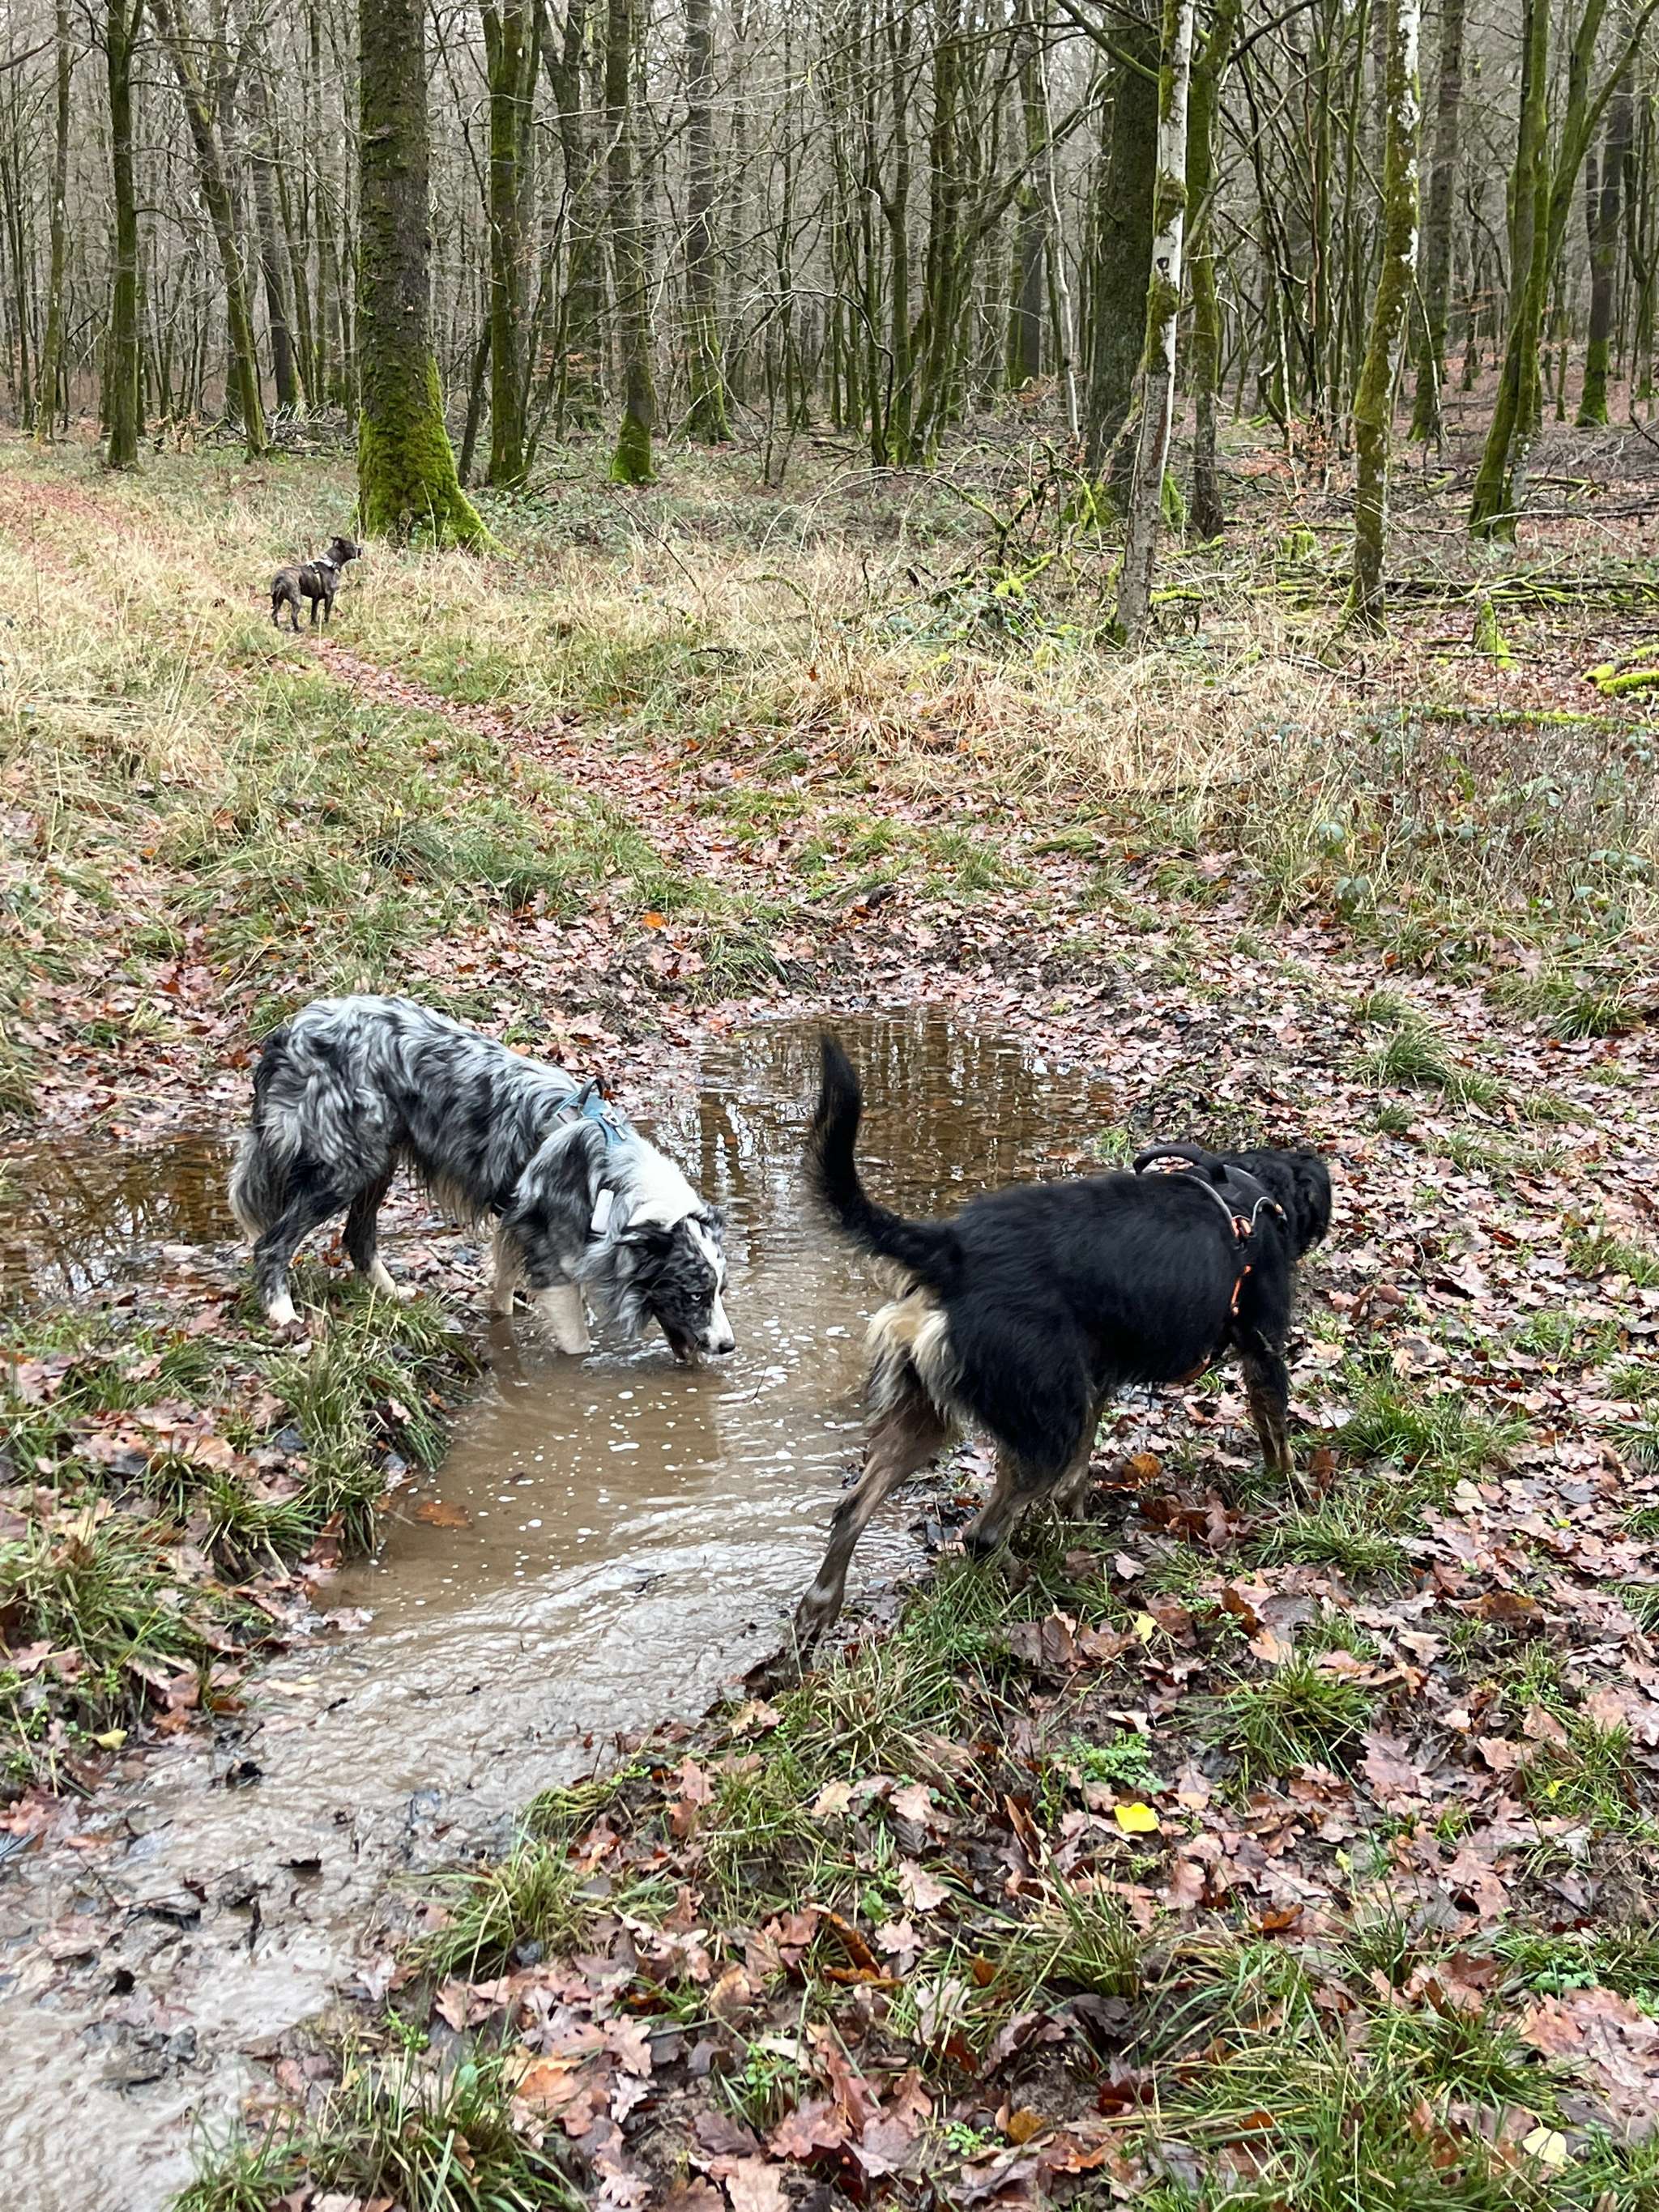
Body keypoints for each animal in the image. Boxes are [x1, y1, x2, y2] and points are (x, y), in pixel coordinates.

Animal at [228, 995, 734, 1362]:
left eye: (719, 1292)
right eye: (694, 1295)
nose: (728, 1346)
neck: (610, 1183)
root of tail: (289, 1032)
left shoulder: (517, 1224)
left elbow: (503, 1289)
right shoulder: (554, 1262)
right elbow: (576, 1344)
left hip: (376, 1162)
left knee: (357, 1236)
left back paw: (393, 1295)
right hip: (344, 1167)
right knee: (272, 1243)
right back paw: (283, 1315)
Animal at [793, 1035, 1330, 1648]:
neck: (1256, 1191)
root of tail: (951, 1248)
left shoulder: (1094, 1380)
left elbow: (1082, 1465)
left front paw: (1076, 1513)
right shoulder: (1263, 1348)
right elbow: (1276, 1430)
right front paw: (1292, 1490)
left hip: (939, 1412)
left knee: (853, 1509)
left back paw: (820, 1607)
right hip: (1043, 1422)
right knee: (980, 1533)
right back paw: (1033, 1584)